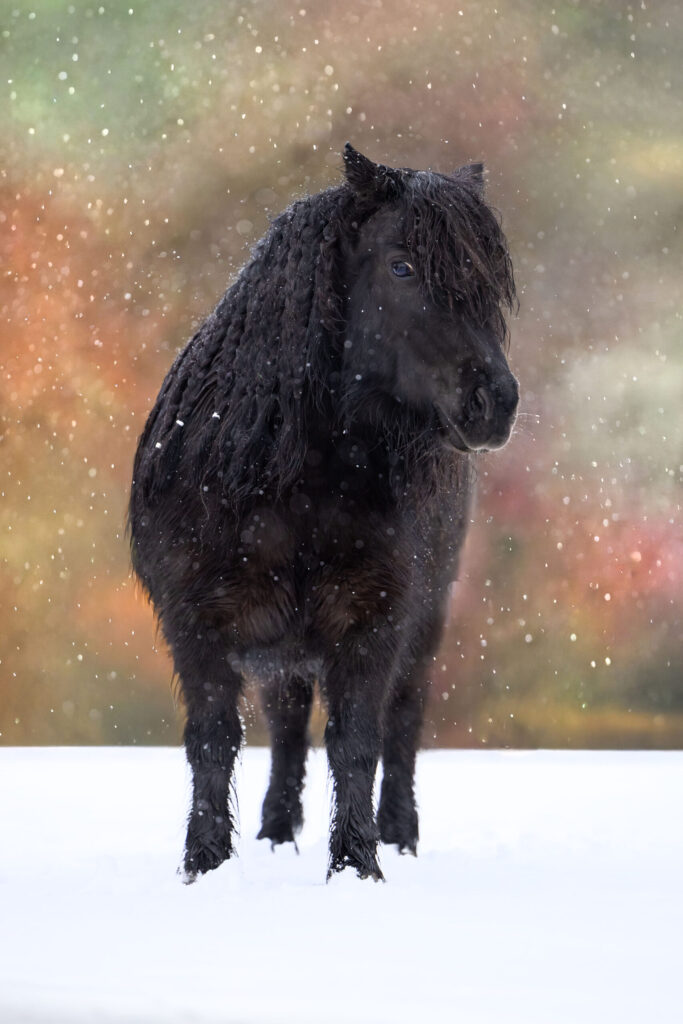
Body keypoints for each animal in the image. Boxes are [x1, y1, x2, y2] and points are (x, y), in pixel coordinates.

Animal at [129, 143, 518, 882]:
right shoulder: (196, 623)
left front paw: (358, 865)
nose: (496, 403)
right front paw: (204, 863)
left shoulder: (373, 622)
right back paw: (275, 834)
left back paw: (398, 833)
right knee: (285, 728)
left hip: (423, 620)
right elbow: (214, 740)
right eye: (401, 265)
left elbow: (357, 743)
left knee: (402, 721)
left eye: (490, 281)